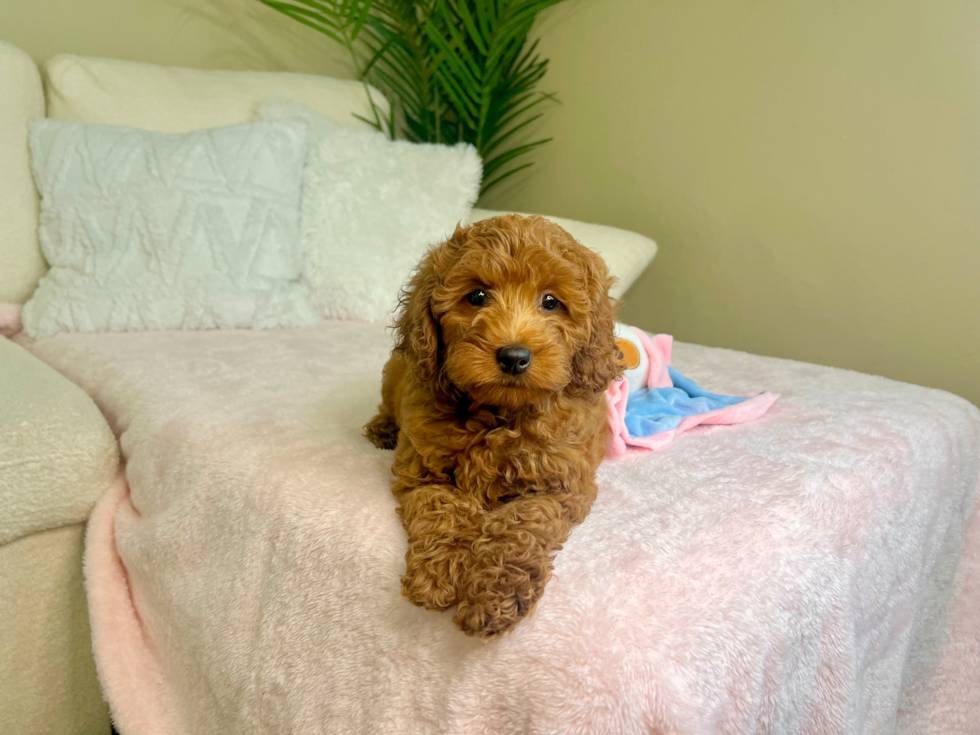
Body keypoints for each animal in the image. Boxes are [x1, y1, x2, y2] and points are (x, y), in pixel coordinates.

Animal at [364, 214, 616, 640]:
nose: (514, 356)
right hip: (397, 370)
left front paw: (497, 594)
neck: (499, 415)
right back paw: (382, 429)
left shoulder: (561, 486)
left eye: (551, 302)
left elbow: (522, 526)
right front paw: (437, 572)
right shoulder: (425, 474)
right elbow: (441, 511)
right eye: (477, 296)